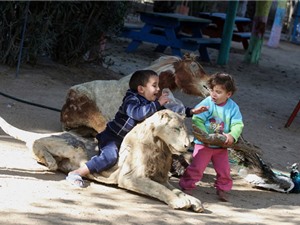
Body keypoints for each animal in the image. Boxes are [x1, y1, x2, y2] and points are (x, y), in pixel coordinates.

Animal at [0, 110, 204, 213]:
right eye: (176, 128)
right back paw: (52, 162)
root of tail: (61, 133)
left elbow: (174, 188)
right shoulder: (130, 178)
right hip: (72, 144)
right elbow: (159, 190)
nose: (188, 145)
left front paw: (193, 201)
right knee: (36, 142)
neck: (160, 149)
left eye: (185, 128)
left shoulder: (161, 178)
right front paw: (179, 202)